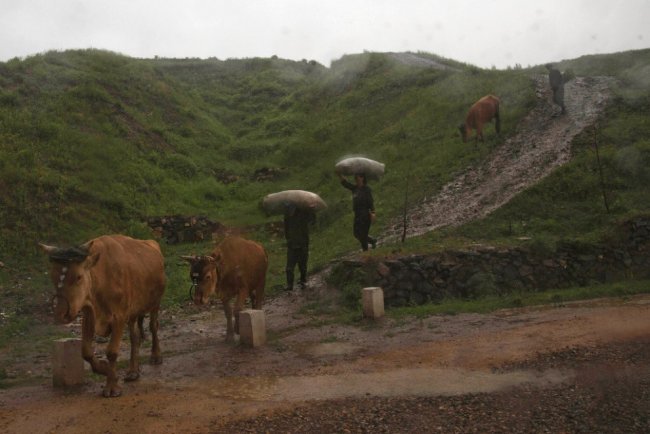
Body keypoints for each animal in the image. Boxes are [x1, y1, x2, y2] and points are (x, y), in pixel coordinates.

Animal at [39, 234, 166, 396]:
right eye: (52, 277)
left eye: (78, 277)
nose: (61, 313)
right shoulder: (88, 314)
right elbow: (86, 352)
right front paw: (105, 369)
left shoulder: (119, 316)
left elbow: (111, 352)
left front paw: (111, 386)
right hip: (133, 311)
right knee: (134, 337)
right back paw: (132, 370)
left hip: (155, 302)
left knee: (153, 326)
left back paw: (156, 356)